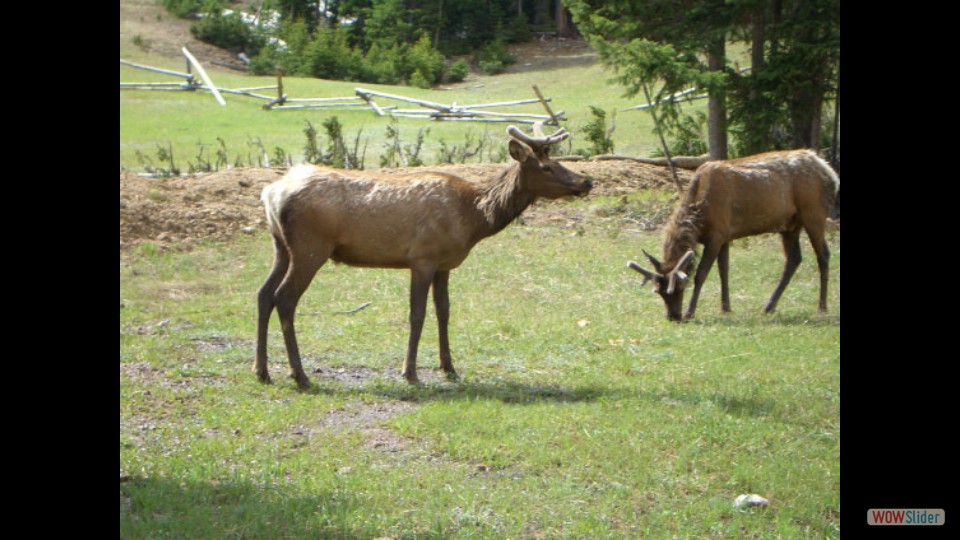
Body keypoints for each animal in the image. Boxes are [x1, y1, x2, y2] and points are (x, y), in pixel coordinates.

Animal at [255, 121, 592, 388]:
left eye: (557, 160)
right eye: (547, 166)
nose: (586, 181)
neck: (474, 219)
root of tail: (271, 193)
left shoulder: (445, 264)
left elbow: (444, 311)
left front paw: (450, 367)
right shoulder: (422, 258)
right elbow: (417, 314)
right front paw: (410, 372)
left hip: (280, 246)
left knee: (263, 294)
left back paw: (262, 371)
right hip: (310, 247)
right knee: (285, 298)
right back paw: (299, 375)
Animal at [628, 149, 836, 320]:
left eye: (679, 287)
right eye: (659, 291)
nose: (673, 316)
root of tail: (830, 172)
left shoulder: (717, 235)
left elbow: (702, 274)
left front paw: (690, 311)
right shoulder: (724, 235)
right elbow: (724, 271)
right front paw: (726, 307)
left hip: (814, 213)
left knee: (823, 255)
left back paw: (822, 307)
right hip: (790, 225)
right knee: (794, 259)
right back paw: (769, 306)